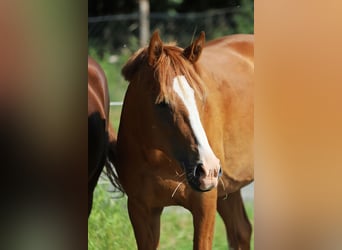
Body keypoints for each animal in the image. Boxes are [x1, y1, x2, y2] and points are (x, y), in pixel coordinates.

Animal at [113, 31, 252, 250]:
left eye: (201, 98)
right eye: (161, 102)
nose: (207, 169)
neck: (161, 159)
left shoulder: (204, 204)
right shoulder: (141, 211)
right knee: (241, 231)